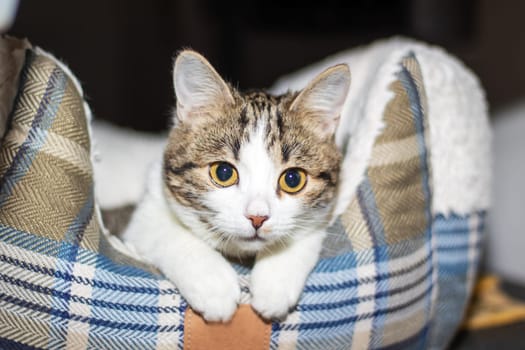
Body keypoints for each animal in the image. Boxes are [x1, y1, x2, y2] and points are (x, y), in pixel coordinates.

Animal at [121, 50, 350, 322]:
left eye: (293, 179)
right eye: (223, 173)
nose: (257, 217)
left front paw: (274, 281)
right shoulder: (142, 217)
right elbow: (166, 232)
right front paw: (213, 284)